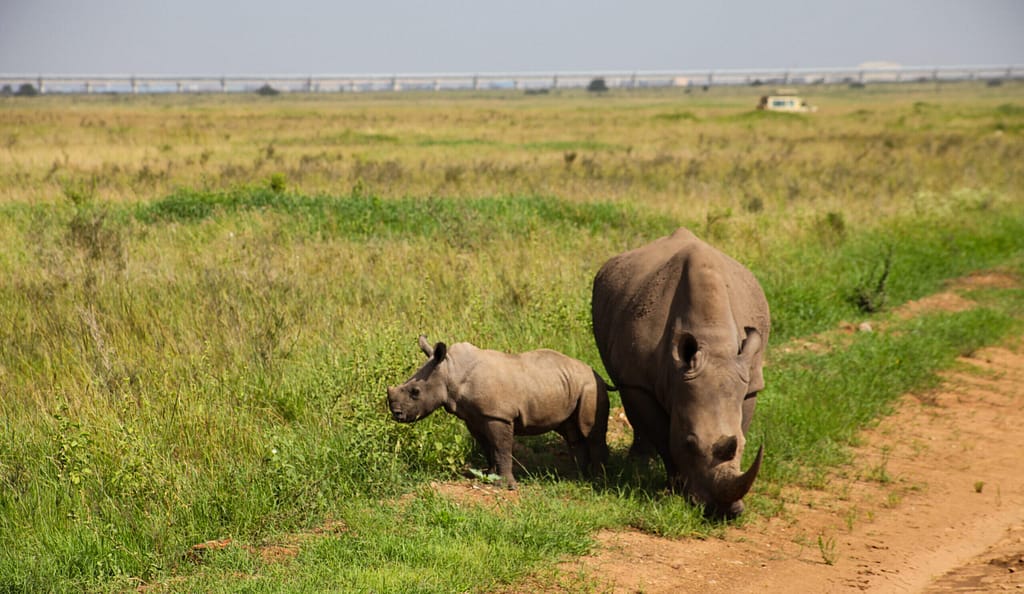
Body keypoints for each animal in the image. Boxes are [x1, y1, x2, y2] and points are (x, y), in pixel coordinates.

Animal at [386, 335, 610, 489]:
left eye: (415, 392)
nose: (396, 414)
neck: (451, 372)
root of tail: (597, 375)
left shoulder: (498, 415)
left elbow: (501, 447)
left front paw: (506, 485)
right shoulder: (475, 417)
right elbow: (487, 446)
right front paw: (489, 475)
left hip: (591, 387)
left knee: (590, 431)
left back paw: (598, 479)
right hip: (570, 386)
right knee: (572, 432)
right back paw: (578, 476)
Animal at [591, 227, 769, 516]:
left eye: (744, 446)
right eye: (689, 443)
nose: (725, 511)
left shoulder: (750, 381)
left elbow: (740, 423)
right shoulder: (638, 381)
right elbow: (663, 434)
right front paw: (676, 487)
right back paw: (638, 466)